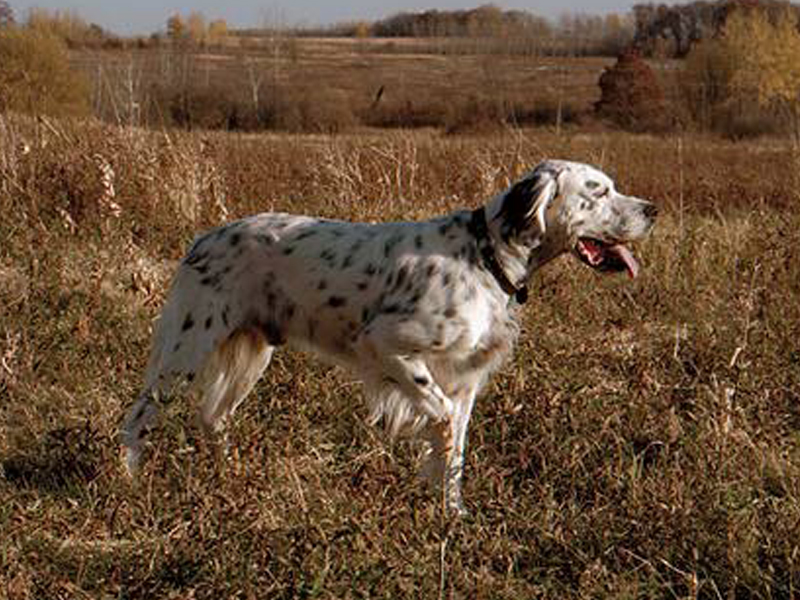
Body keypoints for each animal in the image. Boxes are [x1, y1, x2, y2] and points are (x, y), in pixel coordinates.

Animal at [121, 159, 657, 515]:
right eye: (598, 191)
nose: (652, 209)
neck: (485, 256)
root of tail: (202, 239)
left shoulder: (465, 380)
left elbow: (456, 448)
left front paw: (452, 513)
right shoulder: (386, 345)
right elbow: (441, 421)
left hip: (251, 353)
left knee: (214, 416)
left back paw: (230, 476)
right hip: (187, 349)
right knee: (139, 415)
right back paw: (128, 479)